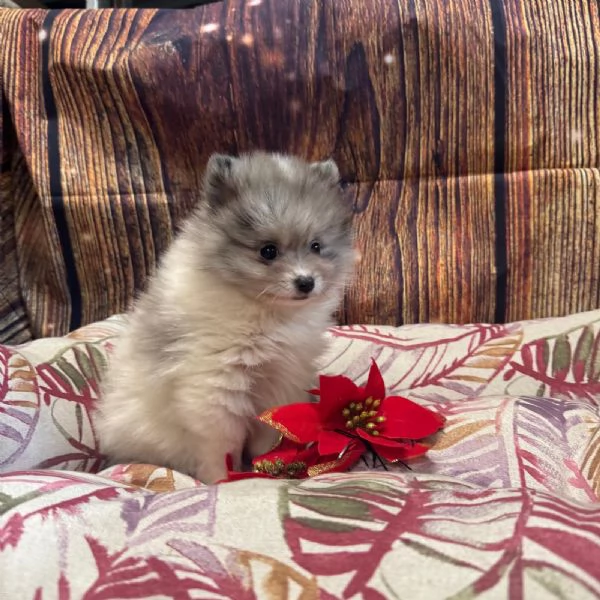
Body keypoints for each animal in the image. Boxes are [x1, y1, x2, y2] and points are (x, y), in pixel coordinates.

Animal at [95, 152, 354, 486]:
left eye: (316, 246)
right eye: (268, 251)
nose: (306, 282)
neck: (264, 311)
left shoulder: (279, 383)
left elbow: (268, 435)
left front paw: (267, 468)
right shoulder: (215, 388)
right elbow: (221, 446)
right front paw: (219, 480)